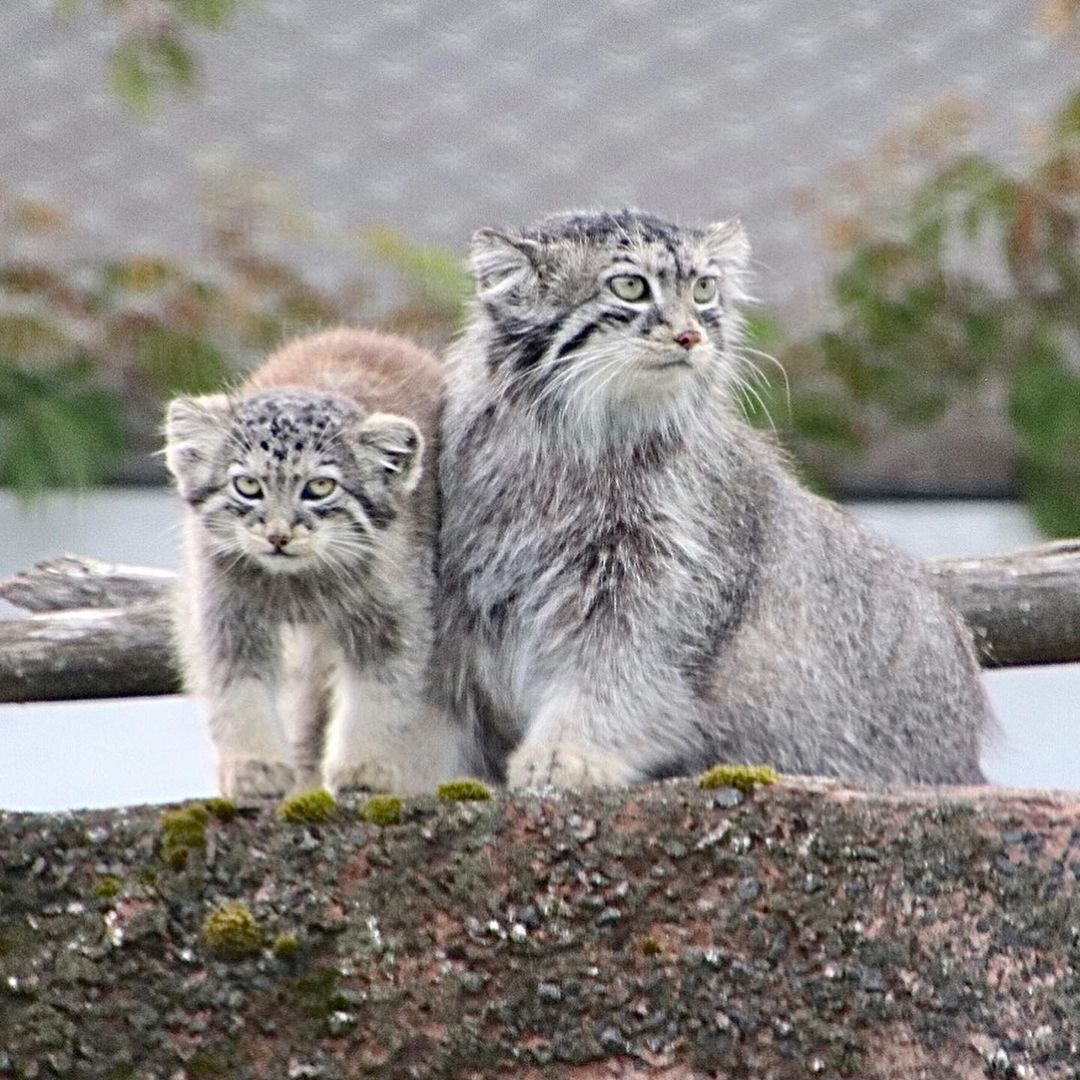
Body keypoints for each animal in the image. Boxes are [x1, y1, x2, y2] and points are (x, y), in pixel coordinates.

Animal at [165, 328, 464, 803]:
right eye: (248, 486)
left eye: (320, 487)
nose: (279, 536)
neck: (301, 584)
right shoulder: (225, 613)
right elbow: (237, 694)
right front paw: (254, 765)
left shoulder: (395, 616)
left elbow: (378, 696)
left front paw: (364, 766)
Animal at [434, 208, 989, 786]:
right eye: (630, 287)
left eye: (704, 289)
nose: (690, 336)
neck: (578, 448)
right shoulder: (473, 600)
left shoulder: (657, 589)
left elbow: (614, 679)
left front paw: (568, 754)